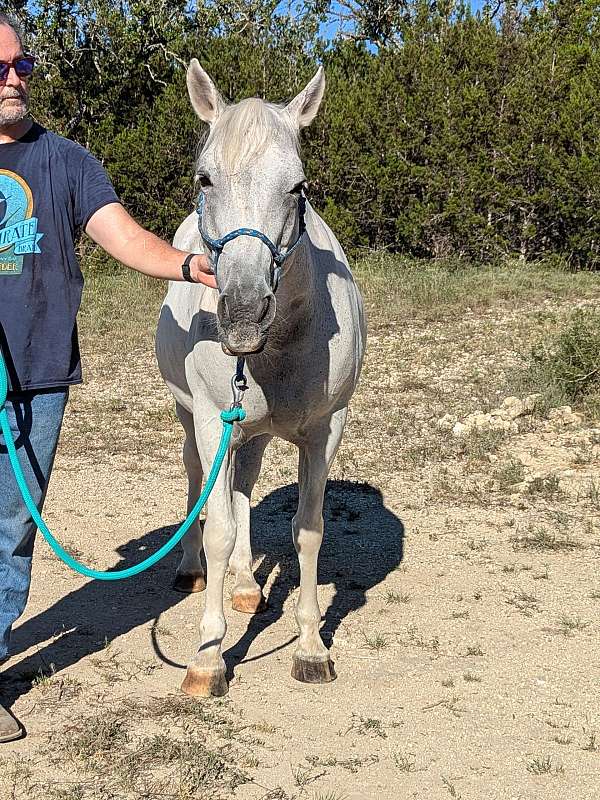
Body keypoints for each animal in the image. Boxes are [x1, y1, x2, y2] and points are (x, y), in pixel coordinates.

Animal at [155, 62, 366, 696]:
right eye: (204, 179)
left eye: (297, 187)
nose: (245, 313)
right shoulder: (208, 419)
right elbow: (219, 526)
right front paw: (207, 658)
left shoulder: (325, 430)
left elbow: (308, 529)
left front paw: (311, 647)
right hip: (195, 421)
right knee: (201, 482)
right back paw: (192, 569)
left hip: (251, 432)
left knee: (244, 484)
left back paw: (248, 585)